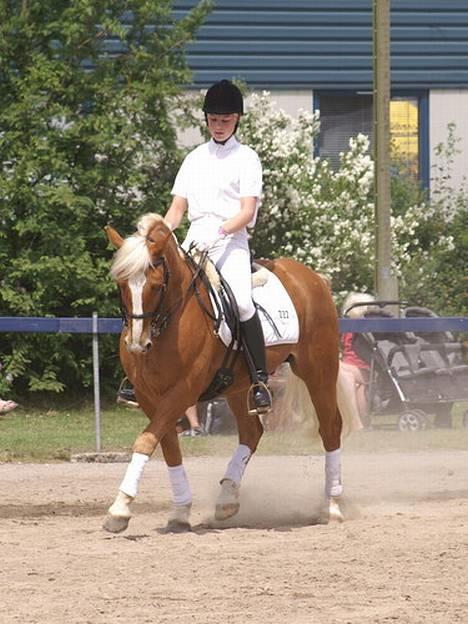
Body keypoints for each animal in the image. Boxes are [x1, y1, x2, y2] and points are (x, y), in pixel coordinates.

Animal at [103, 213, 358, 532]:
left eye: (156, 284)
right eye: (121, 283)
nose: (137, 344)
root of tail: (312, 277)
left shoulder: (183, 391)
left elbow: (147, 440)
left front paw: (120, 509)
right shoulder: (149, 395)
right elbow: (168, 445)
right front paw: (180, 511)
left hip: (318, 370)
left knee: (331, 427)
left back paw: (331, 506)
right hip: (239, 384)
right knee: (252, 432)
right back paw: (226, 499)